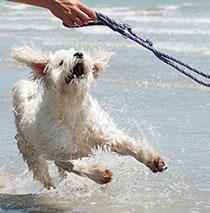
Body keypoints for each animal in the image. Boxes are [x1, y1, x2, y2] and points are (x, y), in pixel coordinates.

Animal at [11, 44, 167, 189]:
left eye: (79, 52)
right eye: (61, 62)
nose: (79, 54)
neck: (73, 107)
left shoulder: (106, 134)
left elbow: (130, 145)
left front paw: (153, 161)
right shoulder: (60, 152)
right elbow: (77, 165)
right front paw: (100, 174)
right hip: (30, 152)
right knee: (42, 173)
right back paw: (52, 187)